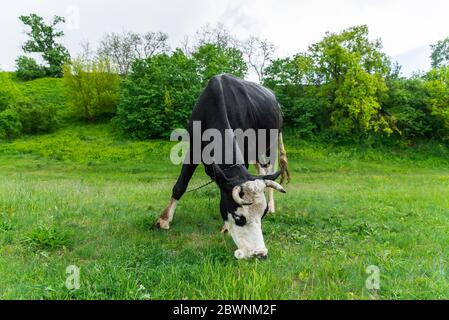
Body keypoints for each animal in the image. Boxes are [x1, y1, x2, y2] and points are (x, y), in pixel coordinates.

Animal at [156, 74, 288, 260]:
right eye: (239, 218)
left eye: (262, 214)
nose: (260, 254)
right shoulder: (193, 147)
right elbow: (180, 185)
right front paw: (164, 220)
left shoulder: (244, 151)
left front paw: (225, 227)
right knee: (261, 171)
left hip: (271, 144)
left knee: (268, 169)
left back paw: (274, 206)